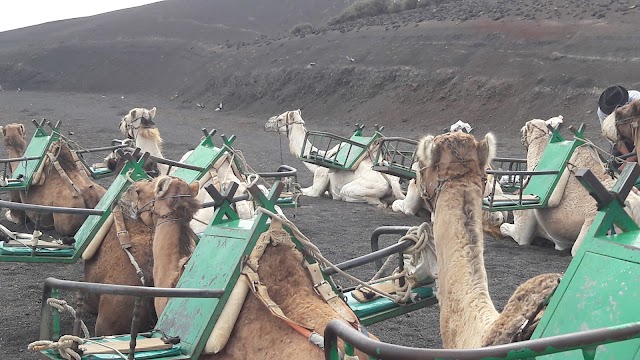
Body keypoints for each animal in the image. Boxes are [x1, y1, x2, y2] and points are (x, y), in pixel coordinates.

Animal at [264, 108, 404, 207]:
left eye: (280, 119)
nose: (267, 124)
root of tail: (392, 179)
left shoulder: (320, 177)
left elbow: (303, 191)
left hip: (363, 187)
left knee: (352, 195)